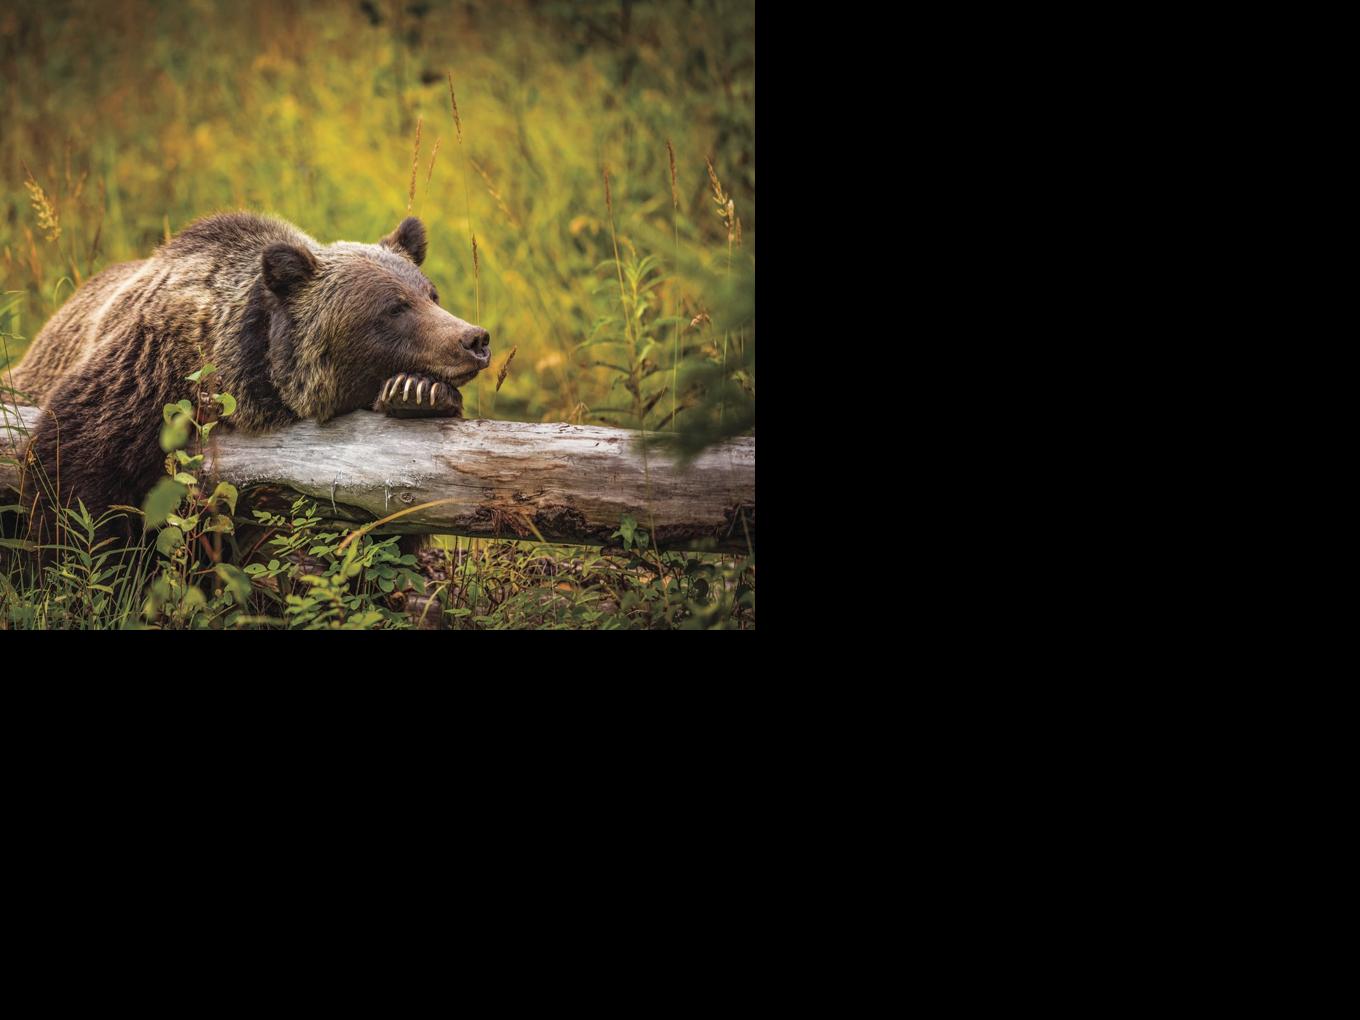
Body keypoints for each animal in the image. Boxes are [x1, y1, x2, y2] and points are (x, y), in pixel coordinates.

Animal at [6, 211, 490, 556]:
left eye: (431, 294)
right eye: (393, 307)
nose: (474, 339)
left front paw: (417, 393)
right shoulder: (144, 375)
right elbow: (74, 478)